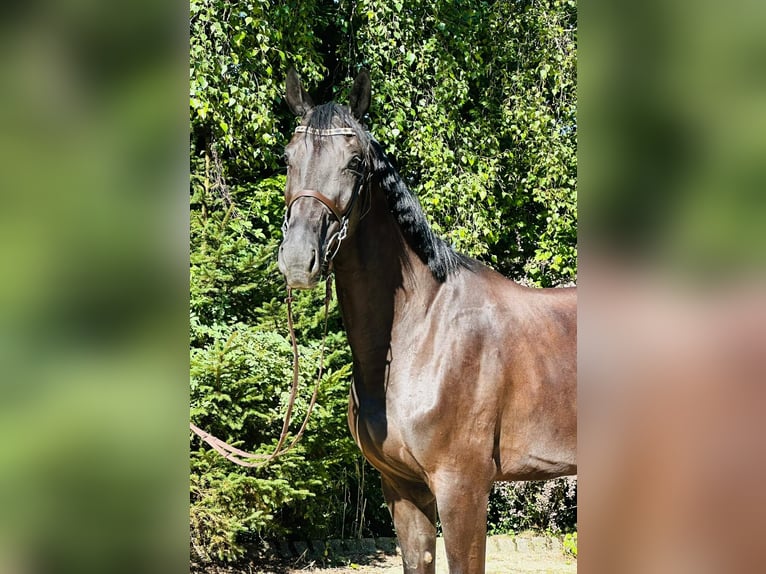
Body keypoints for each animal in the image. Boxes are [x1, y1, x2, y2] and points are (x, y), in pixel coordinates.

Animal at [276, 68, 576, 574]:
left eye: (355, 163)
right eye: (288, 157)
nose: (299, 259)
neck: (423, 332)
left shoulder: (463, 488)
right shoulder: (402, 487)